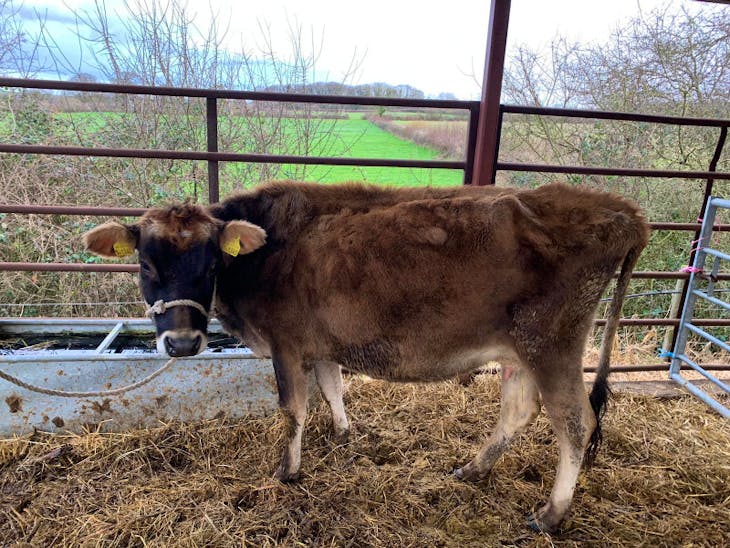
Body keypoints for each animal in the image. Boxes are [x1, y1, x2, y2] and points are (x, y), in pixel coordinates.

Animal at [83, 181, 649, 533]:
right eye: (147, 264)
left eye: (209, 263)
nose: (180, 344)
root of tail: (616, 208)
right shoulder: (320, 343)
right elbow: (332, 388)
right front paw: (343, 435)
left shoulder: (287, 343)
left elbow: (292, 409)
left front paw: (287, 471)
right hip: (520, 350)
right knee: (517, 412)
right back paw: (471, 470)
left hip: (553, 342)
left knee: (576, 423)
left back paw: (551, 514)